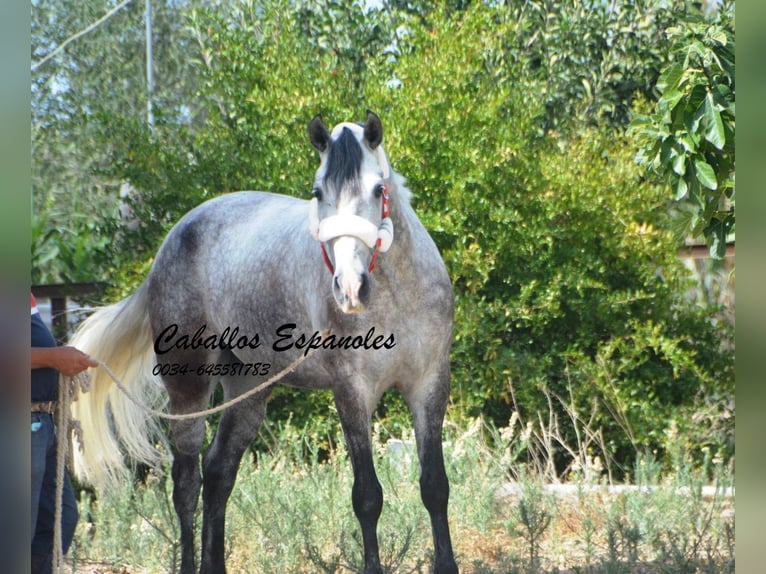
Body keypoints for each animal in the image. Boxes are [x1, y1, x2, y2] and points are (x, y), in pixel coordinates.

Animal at [72, 112, 460, 574]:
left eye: (378, 190)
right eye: (318, 193)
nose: (349, 289)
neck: (397, 295)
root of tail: (174, 239)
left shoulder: (429, 385)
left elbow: (435, 486)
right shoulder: (352, 392)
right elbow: (367, 497)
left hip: (247, 390)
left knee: (218, 474)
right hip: (188, 387)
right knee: (186, 484)